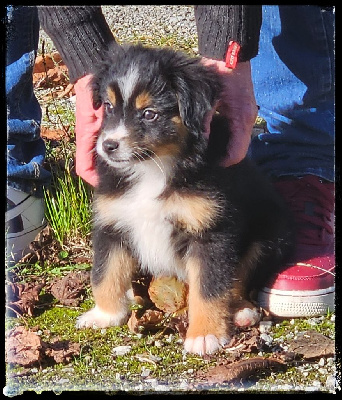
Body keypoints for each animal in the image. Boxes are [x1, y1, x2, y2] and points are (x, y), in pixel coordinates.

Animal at [77, 43, 294, 354]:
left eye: (150, 114)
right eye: (108, 106)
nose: (108, 146)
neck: (153, 168)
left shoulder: (212, 231)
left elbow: (209, 287)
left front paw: (205, 336)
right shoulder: (113, 222)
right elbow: (105, 272)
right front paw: (105, 315)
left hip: (269, 237)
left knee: (239, 279)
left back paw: (241, 311)